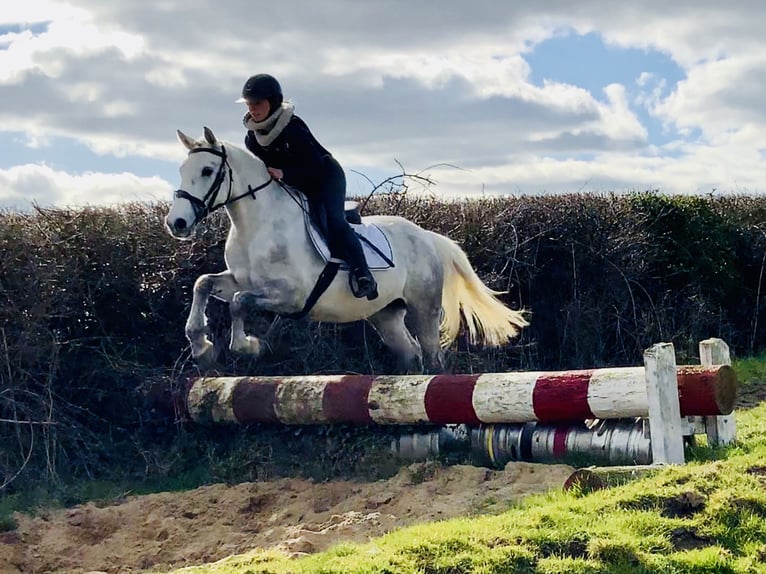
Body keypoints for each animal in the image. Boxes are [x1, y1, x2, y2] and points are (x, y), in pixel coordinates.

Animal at [166, 127, 532, 374]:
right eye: (181, 171)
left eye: (207, 171)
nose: (177, 223)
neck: (255, 226)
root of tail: (426, 236)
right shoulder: (242, 280)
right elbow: (204, 284)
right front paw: (201, 346)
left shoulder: (291, 297)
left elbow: (240, 304)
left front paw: (248, 346)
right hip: (386, 315)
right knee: (411, 353)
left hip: (423, 308)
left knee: (431, 355)